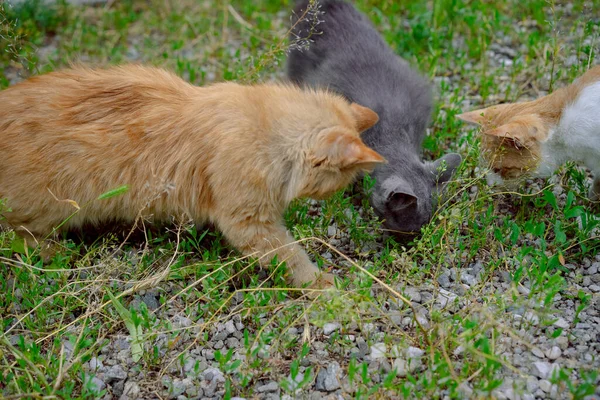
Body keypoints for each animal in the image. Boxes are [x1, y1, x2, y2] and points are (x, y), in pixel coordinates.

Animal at [0, 64, 384, 286]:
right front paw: (321, 285)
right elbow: (292, 255)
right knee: (19, 237)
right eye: (336, 184)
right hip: (49, 209)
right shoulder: (250, 223)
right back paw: (54, 252)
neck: (263, 131)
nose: (328, 198)